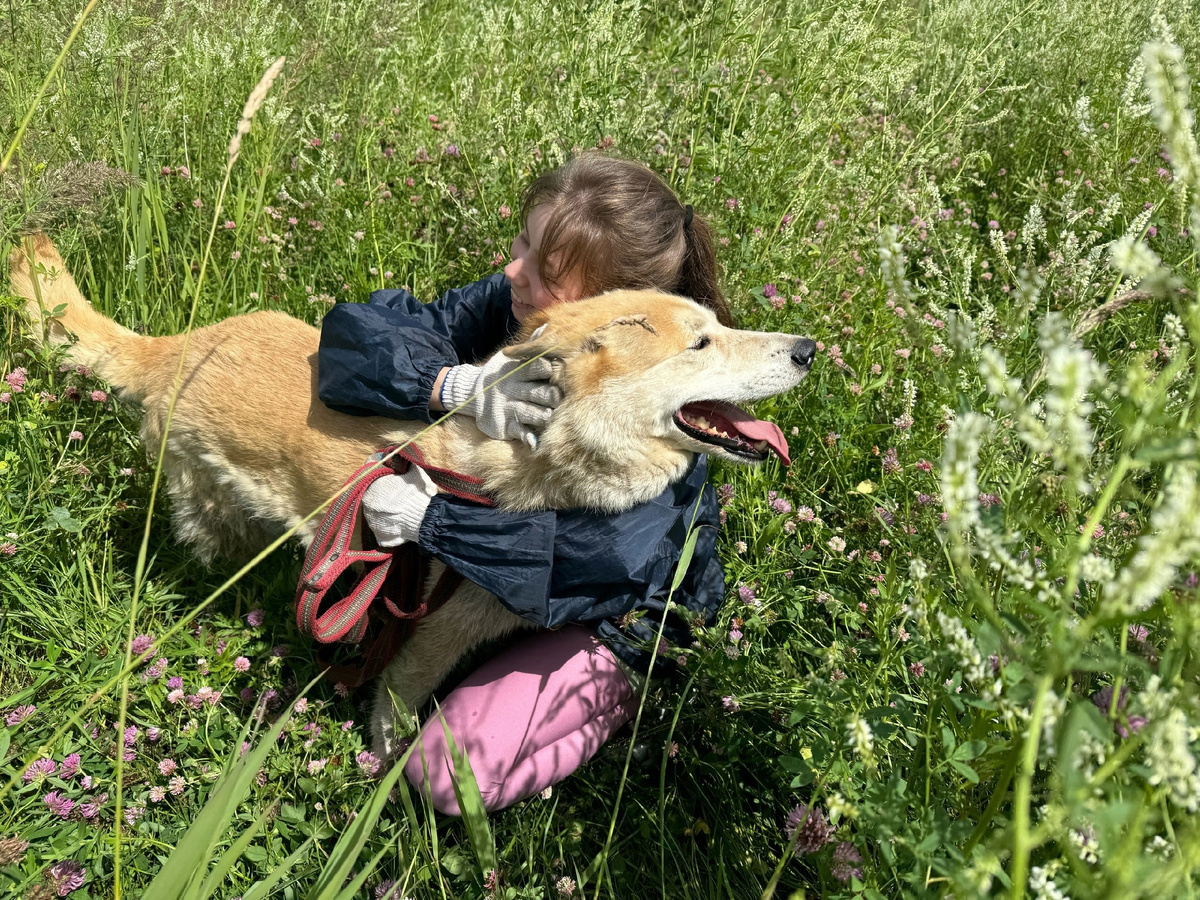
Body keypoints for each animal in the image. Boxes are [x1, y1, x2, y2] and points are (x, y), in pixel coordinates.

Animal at [11, 232, 816, 753]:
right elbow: (394, 719)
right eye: (702, 344)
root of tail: (179, 346)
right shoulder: (429, 639)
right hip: (210, 515)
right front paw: (380, 782)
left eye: (715, 327)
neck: (538, 464)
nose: (809, 349)